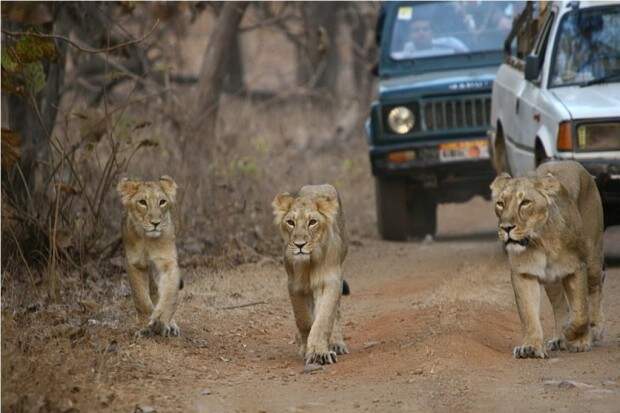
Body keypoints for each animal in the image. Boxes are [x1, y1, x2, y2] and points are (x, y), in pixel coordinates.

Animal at [117, 175, 183, 336]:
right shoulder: (134, 264)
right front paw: (145, 326)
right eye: (142, 202)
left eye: (162, 202)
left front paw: (161, 319)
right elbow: (141, 298)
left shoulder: (167, 262)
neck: (147, 240)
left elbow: (169, 292)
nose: (155, 223)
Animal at [272, 183, 348, 364]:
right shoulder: (295, 286)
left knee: (336, 312)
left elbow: (323, 320)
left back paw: (337, 344)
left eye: (312, 222)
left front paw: (319, 353)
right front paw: (306, 347)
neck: (309, 263)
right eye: (290, 222)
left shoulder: (330, 281)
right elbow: (304, 319)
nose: (300, 245)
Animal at [492, 161, 604, 358]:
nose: (506, 228)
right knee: (560, 305)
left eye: (525, 203)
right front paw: (530, 347)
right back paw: (559, 339)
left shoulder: (576, 267)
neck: (540, 242)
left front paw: (576, 338)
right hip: (552, 281)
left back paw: (595, 330)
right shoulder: (524, 273)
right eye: (500, 203)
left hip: (592, 258)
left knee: (596, 287)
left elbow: (580, 311)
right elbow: (528, 314)